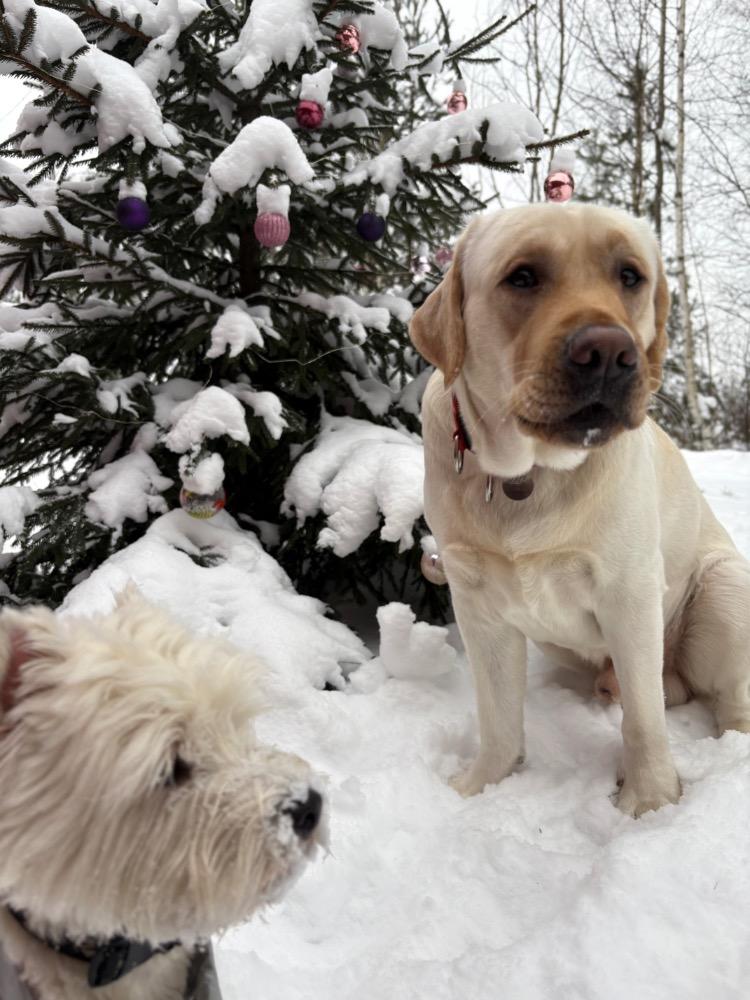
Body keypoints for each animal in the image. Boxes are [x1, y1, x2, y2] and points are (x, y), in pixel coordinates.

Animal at [410, 203, 750, 818]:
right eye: (522, 276)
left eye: (630, 276)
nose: (610, 354)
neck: (528, 477)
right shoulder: (476, 602)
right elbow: (498, 717)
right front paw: (483, 785)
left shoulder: (629, 592)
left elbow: (644, 721)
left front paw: (650, 802)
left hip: (726, 588)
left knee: (726, 699)